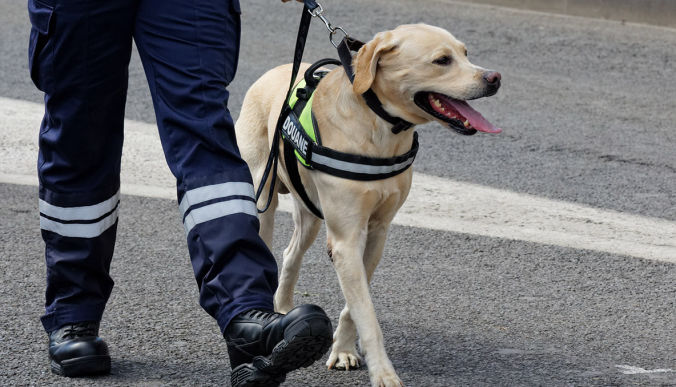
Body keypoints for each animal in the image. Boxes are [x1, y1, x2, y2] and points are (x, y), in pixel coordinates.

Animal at [235, 25, 500, 387]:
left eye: (465, 53)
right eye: (442, 60)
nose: (494, 78)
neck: (381, 128)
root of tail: (271, 73)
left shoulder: (375, 234)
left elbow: (354, 307)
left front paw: (344, 349)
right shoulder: (347, 239)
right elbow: (367, 315)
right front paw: (384, 373)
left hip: (310, 216)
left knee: (291, 256)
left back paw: (285, 309)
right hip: (263, 200)